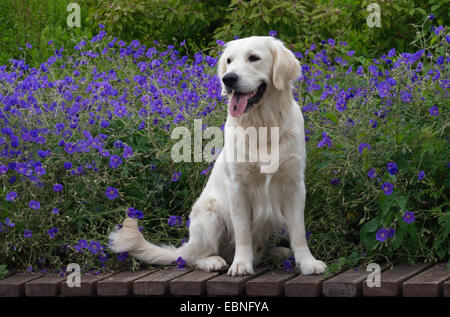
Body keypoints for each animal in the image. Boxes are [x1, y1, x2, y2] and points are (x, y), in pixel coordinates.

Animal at [109, 36, 326, 274]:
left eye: (254, 58)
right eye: (229, 61)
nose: (228, 79)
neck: (263, 125)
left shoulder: (294, 184)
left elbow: (299, 233)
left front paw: (307, 262)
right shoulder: (238, 187)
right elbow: (243, 232)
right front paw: (241, 264)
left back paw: (278, 252)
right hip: (209, 214)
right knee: (192, 257)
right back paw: (214, 261)